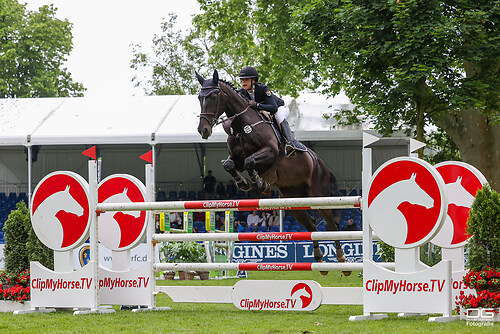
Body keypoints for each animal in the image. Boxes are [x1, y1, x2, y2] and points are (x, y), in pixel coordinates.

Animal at [195, 70, 348, 274]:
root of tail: (320, 162)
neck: (242, 125)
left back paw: (342, 260)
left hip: (319, 195)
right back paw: (320, 262)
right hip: (293, 200)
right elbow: (229, 165)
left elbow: (250, 161)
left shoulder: (270, 153)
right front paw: (245, 183)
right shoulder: (235, 159)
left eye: (214, 95)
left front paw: (260, 183)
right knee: (311, 224)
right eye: (199, 97)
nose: (203, 130)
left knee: (331, 223)